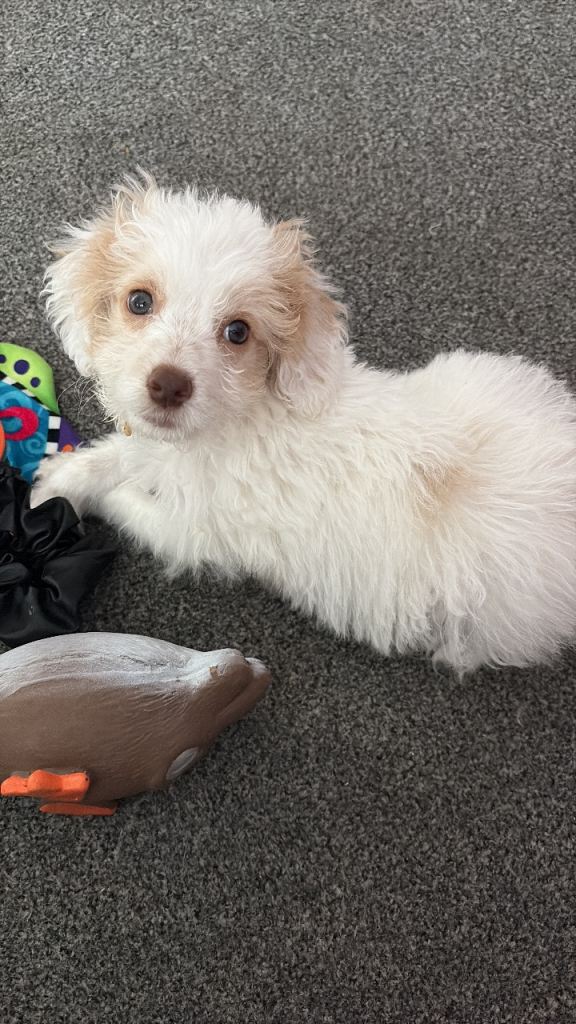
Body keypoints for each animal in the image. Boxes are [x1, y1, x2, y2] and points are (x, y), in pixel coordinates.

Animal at [32, 175, 576, 673]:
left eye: (238, 331)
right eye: (139, 301)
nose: (168, 386)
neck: (244, 415)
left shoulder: (192, 532)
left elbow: (125, 500)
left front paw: (60, 501)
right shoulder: (155, 448)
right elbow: (119, 454)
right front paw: (62, 479)